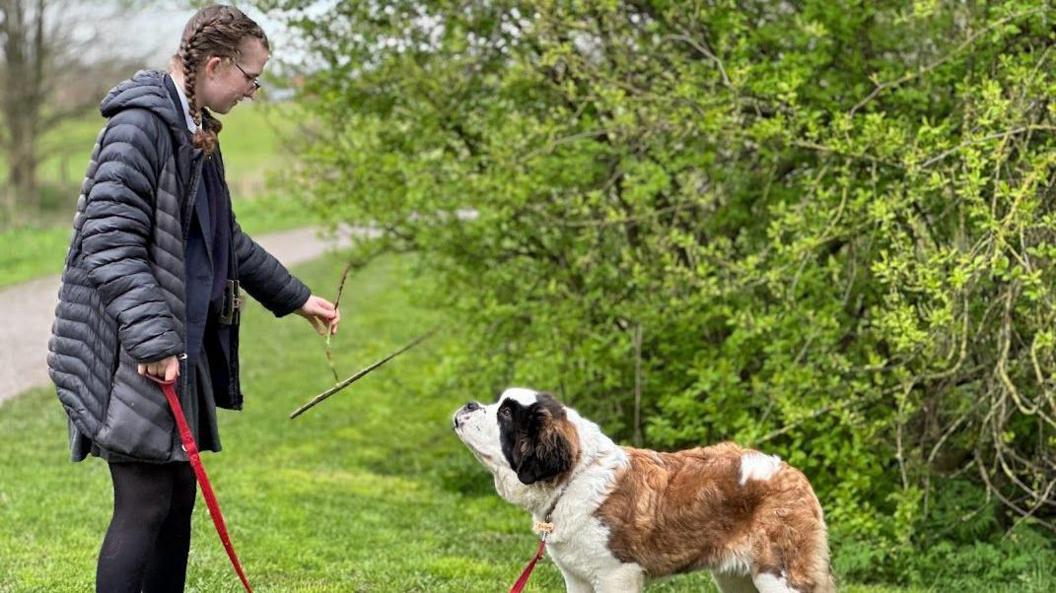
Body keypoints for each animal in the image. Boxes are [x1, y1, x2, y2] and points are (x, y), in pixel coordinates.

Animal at [451, 388, 832, 590]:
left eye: (505, 414)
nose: (469, 404)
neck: (573, 478)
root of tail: (793, 473)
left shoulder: (617, 575)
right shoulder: (577, 579)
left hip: (779, 575)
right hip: (737, 578)